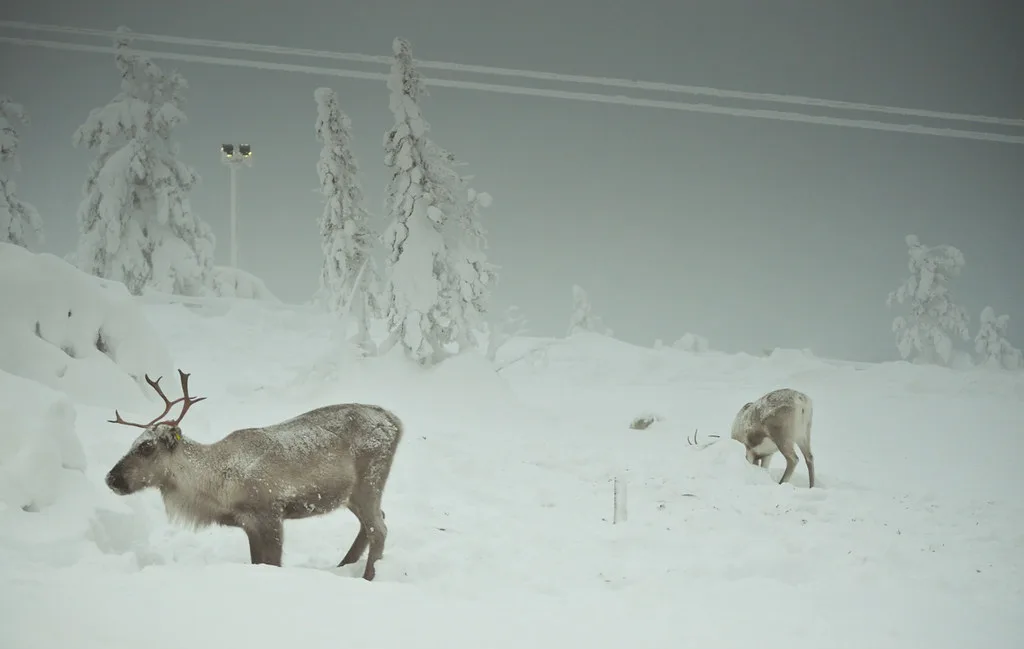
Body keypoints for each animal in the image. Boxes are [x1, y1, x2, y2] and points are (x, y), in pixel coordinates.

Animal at [103, 369, 404, 580]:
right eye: (134, 443)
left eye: (146, 447)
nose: (111, 479)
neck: (216, 487)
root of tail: (395, 421)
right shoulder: (248, 523)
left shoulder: (269, 513)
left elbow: (272, 562)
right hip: (351, 494)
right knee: (373, 523)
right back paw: (344, 565)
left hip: (369, 482)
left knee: (379, 529)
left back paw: (367, 577)